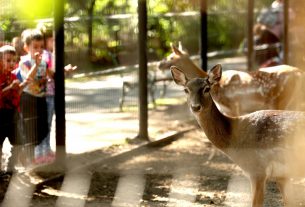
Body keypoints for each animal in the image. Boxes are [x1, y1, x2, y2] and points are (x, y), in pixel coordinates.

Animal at [159, 43, 304, 116]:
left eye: (171, 56)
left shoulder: (234, 106)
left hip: (281, 100)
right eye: (186, 89)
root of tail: (300, 73)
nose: (159, 64)